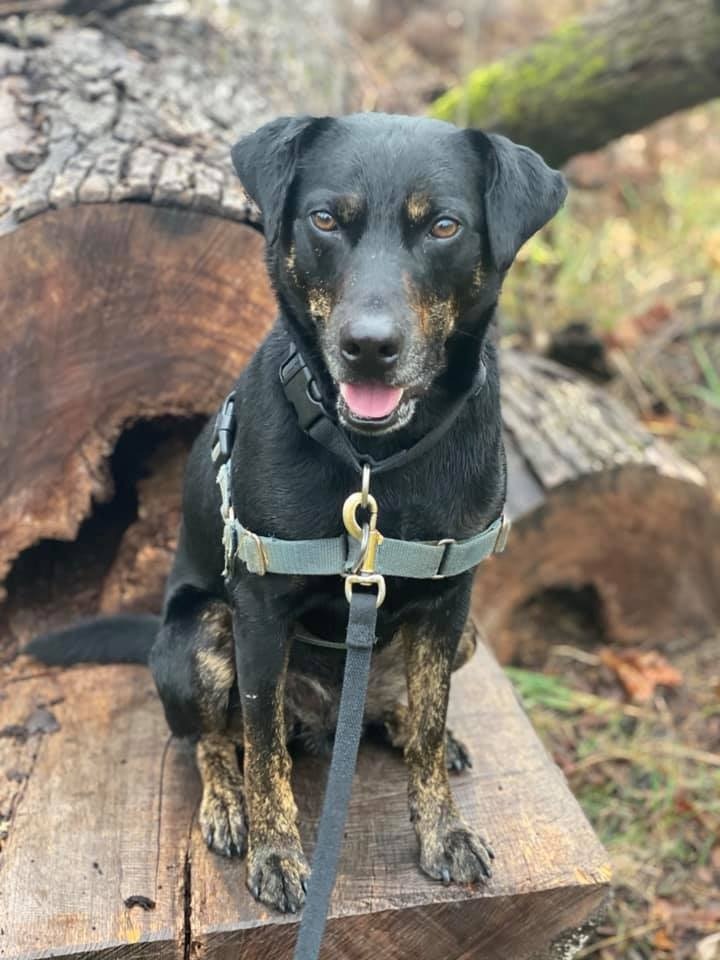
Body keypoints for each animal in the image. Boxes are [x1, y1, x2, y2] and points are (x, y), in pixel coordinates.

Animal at [28, 112, 564, 916]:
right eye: (324, 220)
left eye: (444, 226)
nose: (368, 347)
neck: (375, 458)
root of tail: (333, 716)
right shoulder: (258, 612)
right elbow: (262, 747)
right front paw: (276, 853)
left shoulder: (450, 601)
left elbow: (431, 725)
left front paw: (443, 831)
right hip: (199, 636)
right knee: (212, 740)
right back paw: (226, 804)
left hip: (461, 636)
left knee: (405, 712)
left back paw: (407, 726)